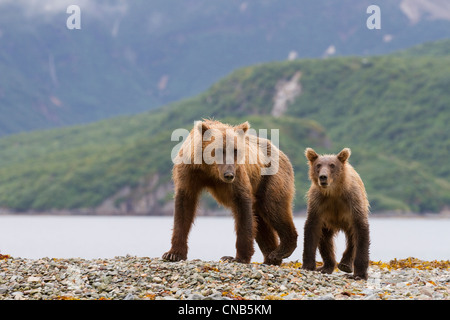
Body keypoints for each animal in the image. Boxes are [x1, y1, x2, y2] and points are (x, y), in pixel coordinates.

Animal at [163, 120, 298, 264]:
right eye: (218, 150)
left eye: (235, 150)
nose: (229, 174)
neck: (209, 170)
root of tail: (281, 152)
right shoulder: (189, 172)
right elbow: (184, 207)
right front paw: (173, 254)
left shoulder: (238, 175)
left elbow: (242, 207)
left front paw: (238, 257)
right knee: (261, 222)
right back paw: (271, 257)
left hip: (270, 177)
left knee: (273, 207)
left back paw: (281, 250)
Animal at [300, 148, 370, 280]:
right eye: (318, 165)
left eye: (332, 165)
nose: (323, 177)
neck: (334, 192)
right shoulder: (318, 203)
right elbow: (311, 228)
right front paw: (307, 265)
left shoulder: (352, 201)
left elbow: (361, 229)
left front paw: (360, 274)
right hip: (327, 224)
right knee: (325, 240)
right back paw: (326, 267)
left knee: (352, 238)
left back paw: (345, 265)